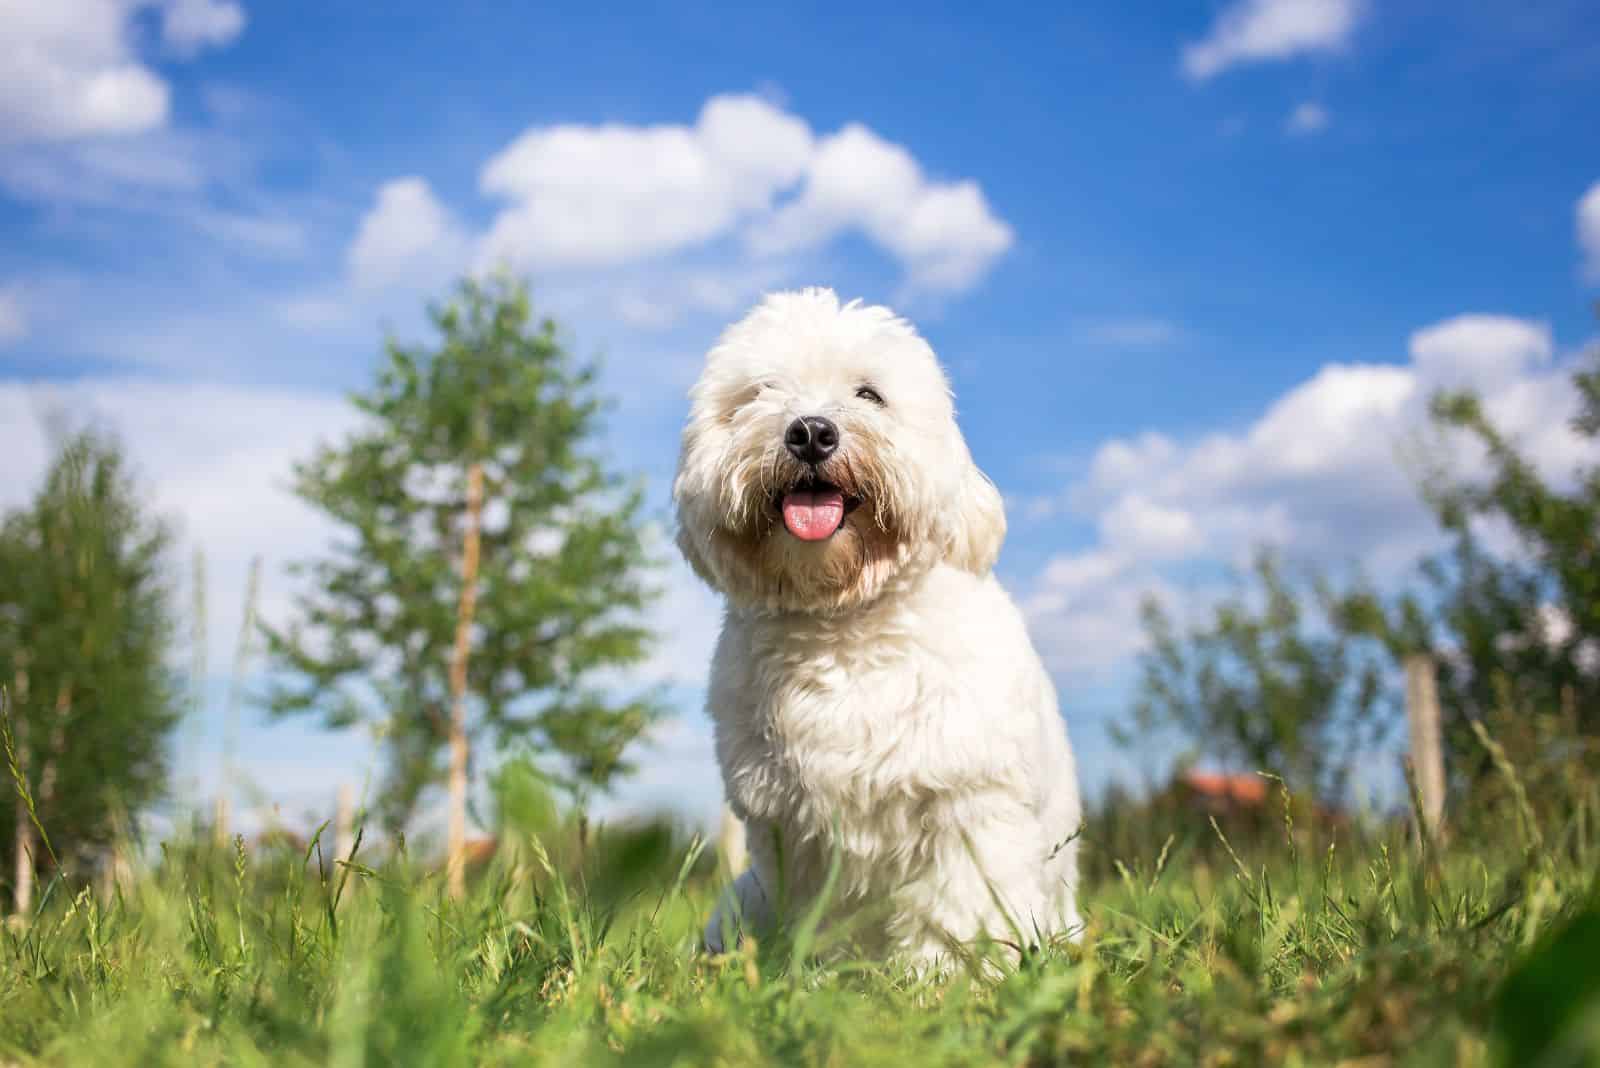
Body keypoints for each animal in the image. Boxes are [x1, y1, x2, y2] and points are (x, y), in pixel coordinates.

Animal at [668, 289, 1081, 965]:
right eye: (760, 391)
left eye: (870, 394)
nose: (810, 432)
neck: (842, 625)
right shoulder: (794, 829)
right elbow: (823, 917)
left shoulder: (968, 803)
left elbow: (957, 910)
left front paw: (945, 976)